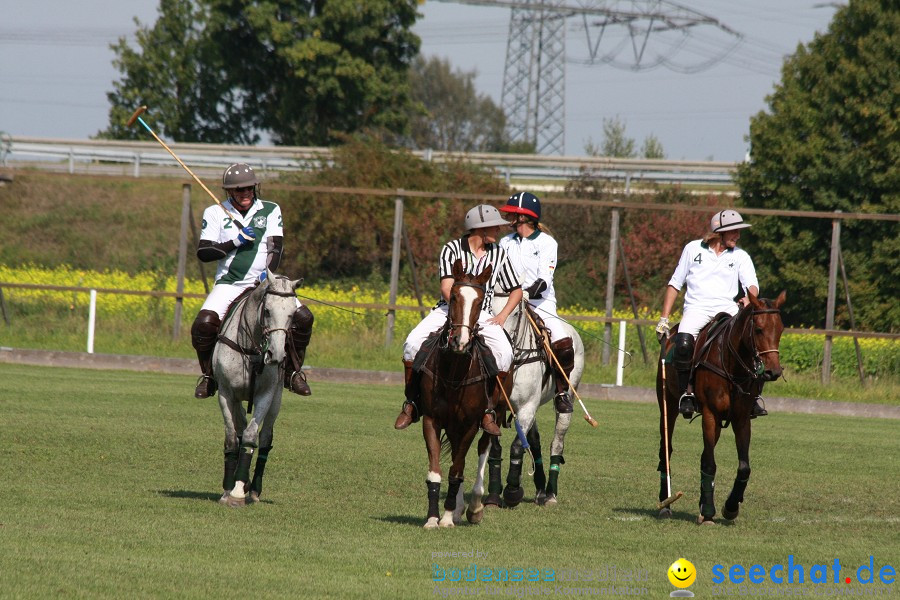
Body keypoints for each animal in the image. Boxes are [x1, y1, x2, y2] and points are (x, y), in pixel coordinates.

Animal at [212, 272, 302, 506]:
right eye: (267, 310)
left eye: (292, 315)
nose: (276, 355)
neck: (250, 349)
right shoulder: (226, 393)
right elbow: (232, 438)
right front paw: (228, 488)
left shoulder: (266, 395)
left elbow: (252, 436)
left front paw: (238, 490)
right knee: (239, 429)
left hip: (276, 400)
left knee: (265, 438)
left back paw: (253, 489)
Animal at [418, 260, 502, 528]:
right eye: (453, 296)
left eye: (479, 301)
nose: (460, 342)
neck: (455, 370)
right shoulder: (431, 419)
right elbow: (436, 472)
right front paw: (434, 518)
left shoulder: (470, 424)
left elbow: (456, 471)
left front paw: (446, 518)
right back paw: (457, 508)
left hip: (493, 416)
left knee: (483, 448)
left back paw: (474, 506)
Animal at [474, 296, 588, 506]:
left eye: (515, 313)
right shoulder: (496, 409)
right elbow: (496, 448)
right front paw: (494, 494)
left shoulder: (527, 407)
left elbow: (517, 446)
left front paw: (512, 490)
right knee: (534, 442)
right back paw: (541, 489)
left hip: (567, 395)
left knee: (557, 441)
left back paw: (550, 493)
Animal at [652, 292, 788, 524]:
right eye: (758, 329)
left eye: (780, 329)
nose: (773, 372)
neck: (732, 365)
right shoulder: (710, 414)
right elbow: (710, 463)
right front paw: (708, 511)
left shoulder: (741, 418)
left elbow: (743, 467)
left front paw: (730, 507)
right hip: (667, 404)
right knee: (666, 451)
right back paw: (666, 503)